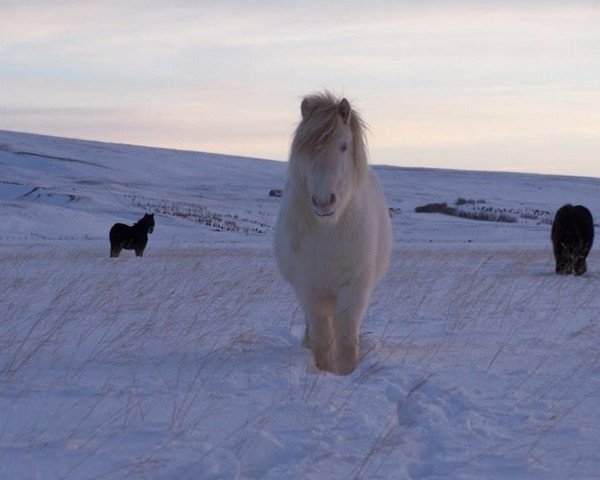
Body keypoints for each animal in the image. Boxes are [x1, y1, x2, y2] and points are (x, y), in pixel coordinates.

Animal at [274, 92, 394, 374]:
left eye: (344, 146)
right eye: (306, 149)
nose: (323, 201)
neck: (330, 233)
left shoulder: (354, 289)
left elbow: (347, 338)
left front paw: (347, 372)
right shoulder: (310, 289)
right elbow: (321, 339)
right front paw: (325, 370)